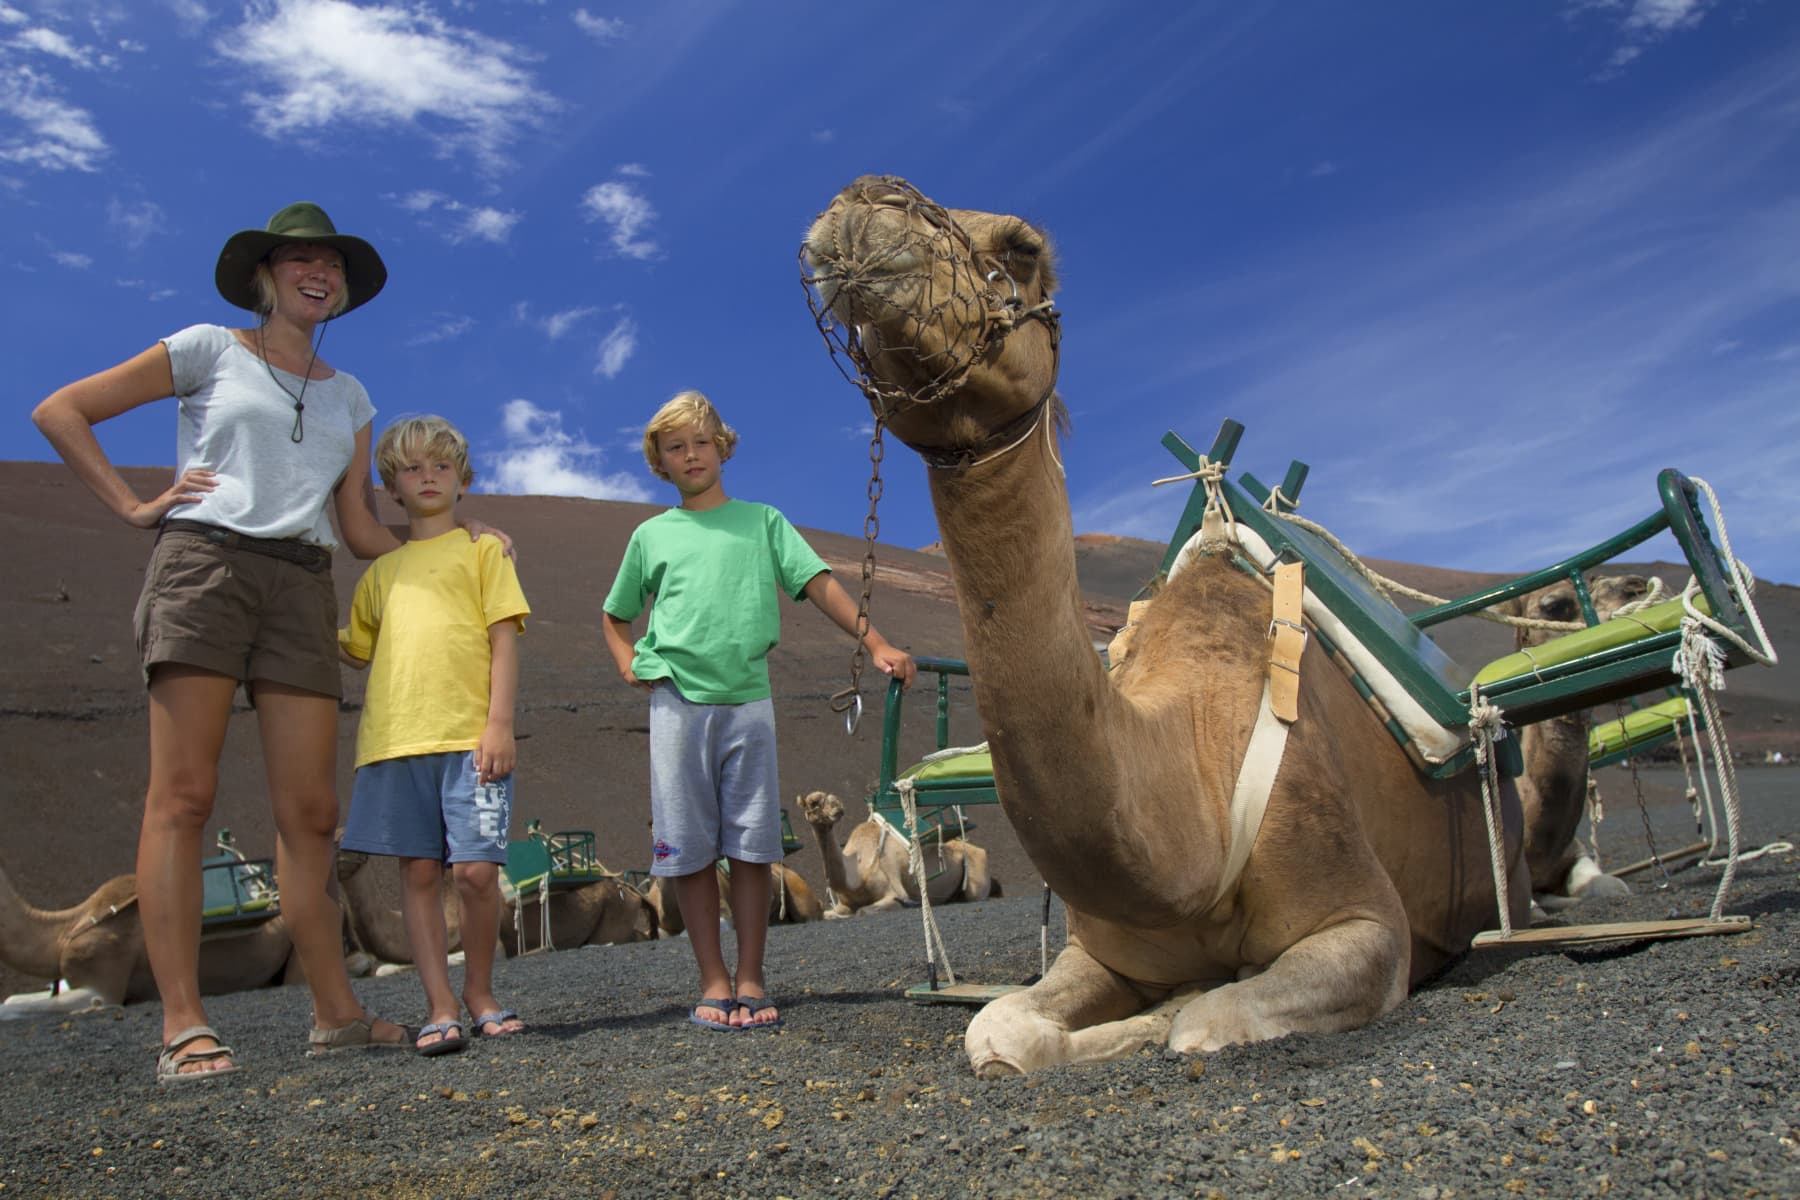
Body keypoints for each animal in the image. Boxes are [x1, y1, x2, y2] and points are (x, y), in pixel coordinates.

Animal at [802, 788, 1000, 921]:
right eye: (813, 803)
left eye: (833, 800)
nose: (838, 809)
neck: (857, 873)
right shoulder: (843, 904)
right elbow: (826, 914)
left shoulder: (894, 890)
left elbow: (862, 911)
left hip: (975, 879)